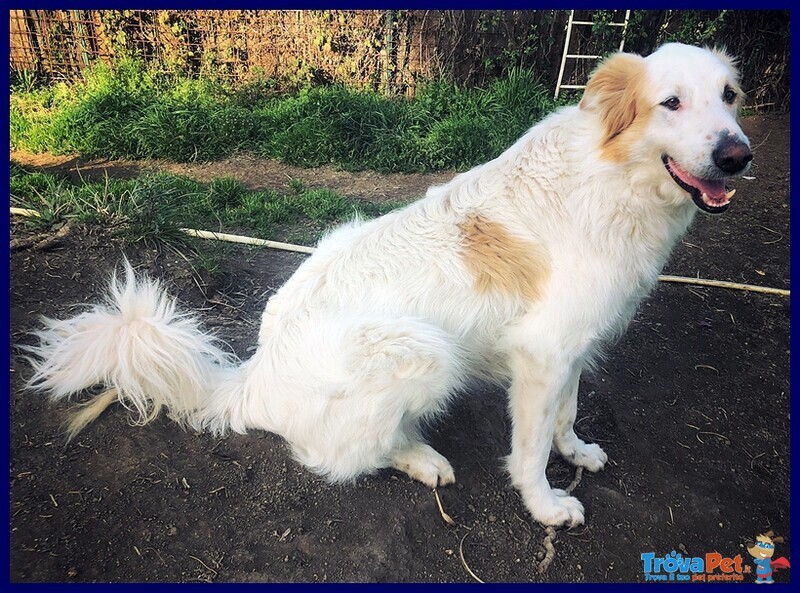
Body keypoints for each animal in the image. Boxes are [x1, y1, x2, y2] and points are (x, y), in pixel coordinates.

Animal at [25, 44, 752, 524]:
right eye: (670, 102)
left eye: (730, 97)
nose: (737, 156)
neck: (614, 176)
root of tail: (251, 378)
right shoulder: (540, 355)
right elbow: (528, 448)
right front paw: (545, 504)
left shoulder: (572, 346)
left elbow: (566, 416)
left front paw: (576, 452)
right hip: (425, 348)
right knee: (338, 453)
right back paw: (422, 459)